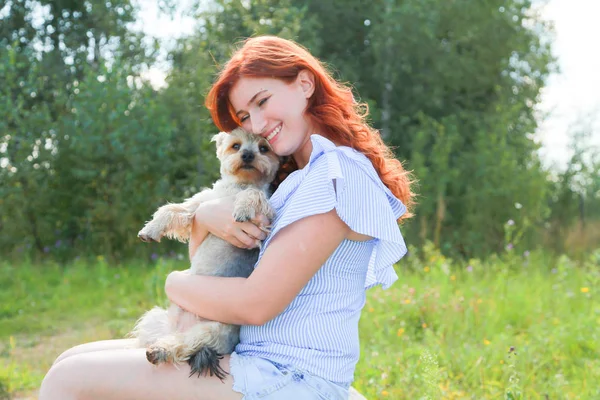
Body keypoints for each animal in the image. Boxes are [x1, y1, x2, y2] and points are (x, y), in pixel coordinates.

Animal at [130, 127, 280, 378]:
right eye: (236, 146)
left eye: (263, 148)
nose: (248, 155)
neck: (237, 186)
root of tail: (179, 327)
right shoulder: (198, 207)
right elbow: (171, 209)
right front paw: (150, 229)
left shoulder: (265, 215)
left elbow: (253, 195)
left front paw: (242, 207)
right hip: (154, 318)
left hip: (213, 331)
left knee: (185, 344)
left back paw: (161, 351)